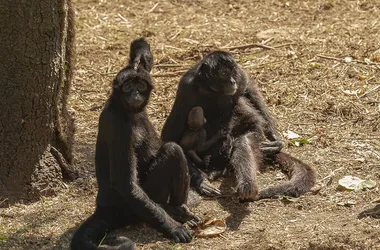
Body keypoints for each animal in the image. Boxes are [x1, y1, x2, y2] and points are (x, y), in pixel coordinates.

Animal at [71, 37, 200, 250]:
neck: (126, 110)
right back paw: (173, 213)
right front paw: (173, 228)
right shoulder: (117, 126)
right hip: (132, 206)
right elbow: (126, 183)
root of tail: (103, 207)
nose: (135, 94)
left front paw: (139, 58)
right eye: (127, 88)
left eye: (139, 86)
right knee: (172, 149)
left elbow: (145, 62)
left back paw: (177, 209)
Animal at [162, 51, 316, 201]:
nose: (232, 81)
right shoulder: (186, 87)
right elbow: (170, 139)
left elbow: (248, 88)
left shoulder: (240, 77)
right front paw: (201, 182)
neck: (212, 90)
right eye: (224, 73)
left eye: (232, 72)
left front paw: (275, 138)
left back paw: (246, 184)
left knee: (243, 133)